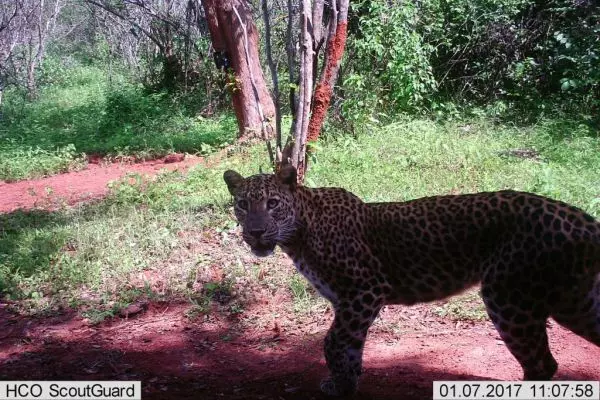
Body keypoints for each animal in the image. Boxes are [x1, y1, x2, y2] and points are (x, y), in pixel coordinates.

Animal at [224, 164, 600, 396]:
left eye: (272, 203)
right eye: (242, 204)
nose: (255, 232)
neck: (299, 232)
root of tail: (578, 216)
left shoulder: (365, 290)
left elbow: (333, 341)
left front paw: (340, 383)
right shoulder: (351, 301)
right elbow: (350, 345)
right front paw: (346, 382)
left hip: (509, 300)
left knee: (541, 363)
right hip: (575, 301)